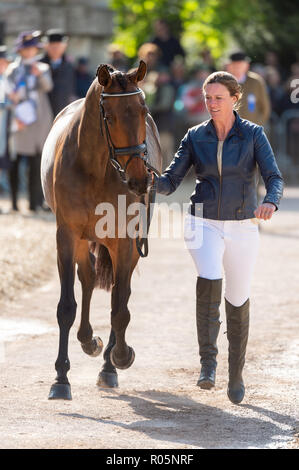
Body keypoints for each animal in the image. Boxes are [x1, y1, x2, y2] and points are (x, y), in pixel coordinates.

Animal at [40, 59, 162, 400]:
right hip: (85, 239)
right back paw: (88, 340)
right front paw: (61, 378)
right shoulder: (67, 235)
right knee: (89, 277)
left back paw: (108, 363)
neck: (94, 166)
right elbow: (66, 306)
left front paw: (119, 357)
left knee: (120, 294)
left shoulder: (125, 239)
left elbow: (119, 307)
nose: (140, 179)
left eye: (143, 109)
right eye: (109, 116)